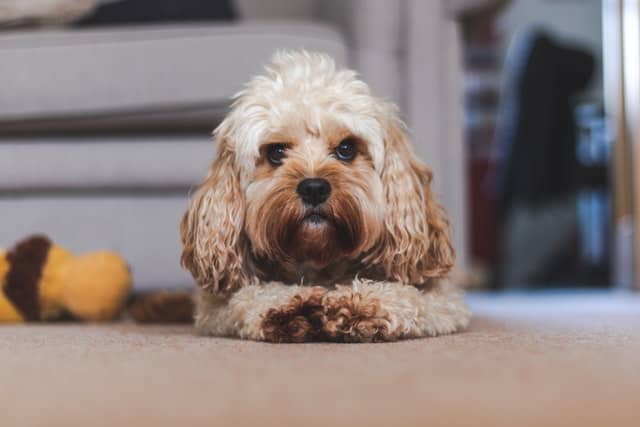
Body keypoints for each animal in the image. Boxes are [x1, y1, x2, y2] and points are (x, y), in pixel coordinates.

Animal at [180, 51, 470, 344]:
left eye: (346, 148)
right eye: (276, 152)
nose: (314, 188)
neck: (320, 262)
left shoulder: (444, 301)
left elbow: (408, 297)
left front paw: (361, 304)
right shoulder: (214, 309)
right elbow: (247, 297)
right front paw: (289, 306)